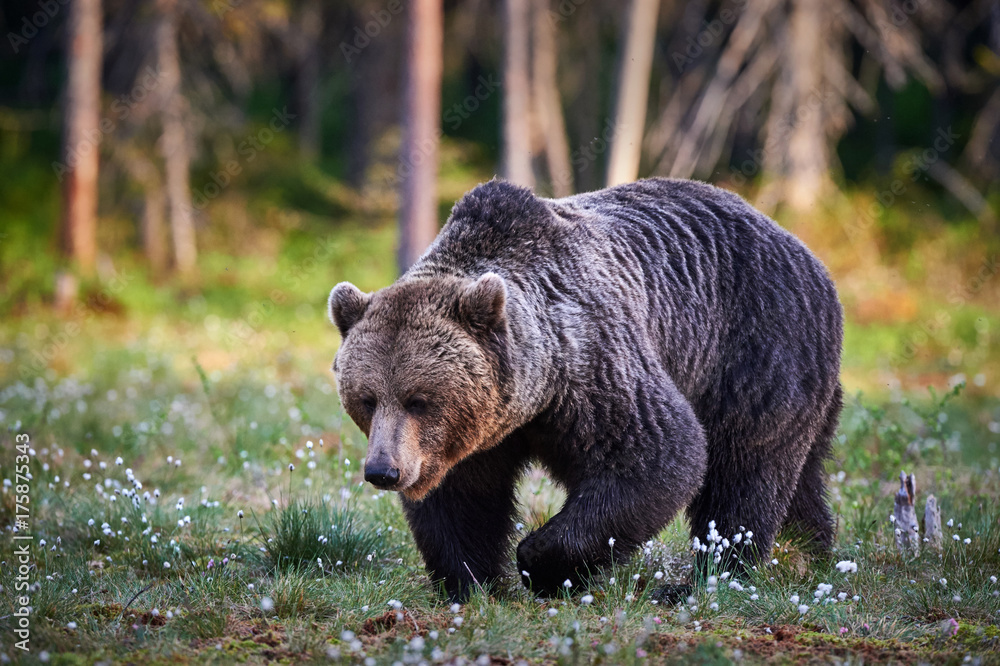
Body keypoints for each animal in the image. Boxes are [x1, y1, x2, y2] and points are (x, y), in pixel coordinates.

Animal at [328, 177, 843, 602]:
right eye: (367, 399)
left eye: (419, 399)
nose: (383, 470)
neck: (534, 396)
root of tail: (809, 255)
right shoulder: (470, 437)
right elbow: (462, 499)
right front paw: (471, 582)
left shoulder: (592, 367)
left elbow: (656, 455)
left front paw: (540, 564)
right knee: (800, 476)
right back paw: (806, 552)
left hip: (757, 352)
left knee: (744, 473)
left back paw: (706, 579)